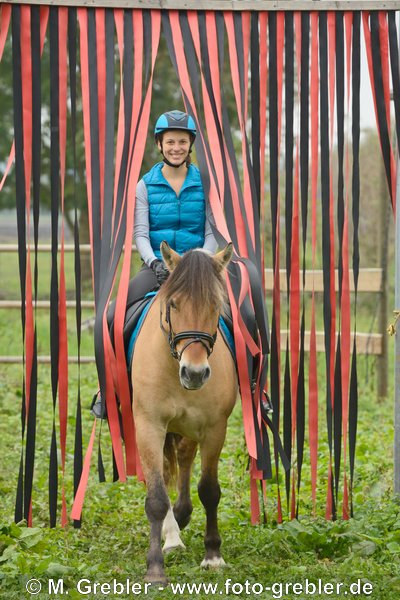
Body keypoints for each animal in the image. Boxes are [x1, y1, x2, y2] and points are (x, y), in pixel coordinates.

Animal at [131, 241, 238, 584]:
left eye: (215, 306)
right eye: (174, 305)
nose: (194, 373)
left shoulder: (215, 428)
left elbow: (209, 490)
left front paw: (213, 556)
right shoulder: (149, 425)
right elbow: (155, 497)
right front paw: (154, 568)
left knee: (184, 458)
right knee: (167, 472)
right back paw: (172, 537)